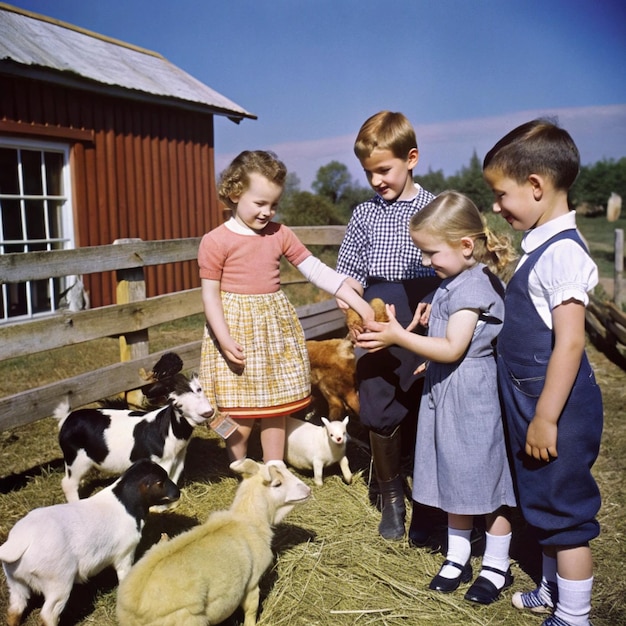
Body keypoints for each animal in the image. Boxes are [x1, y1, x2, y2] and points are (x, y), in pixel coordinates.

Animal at [0, 456, 180, 624]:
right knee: (48, 614)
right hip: (57, 582)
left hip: (15, 581)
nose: (178, 493)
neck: (124, 504)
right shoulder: (125, 553)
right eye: (160, 482)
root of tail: (22, 540)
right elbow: (124, 575)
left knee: (15, 608)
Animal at [54, 368, 214, 500]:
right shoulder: (160, 461)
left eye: (200, 389)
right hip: (76, 458)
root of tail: (66, 418)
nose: (207, 412)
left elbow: (173, 479)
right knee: (67, 483)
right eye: (175, 402)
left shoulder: (179, 458)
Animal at [114, 454, 310, 624]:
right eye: (277, 484)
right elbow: (251, 610)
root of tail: (131, 610)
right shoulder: (252, 583)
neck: (249, 519)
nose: (308, 490)